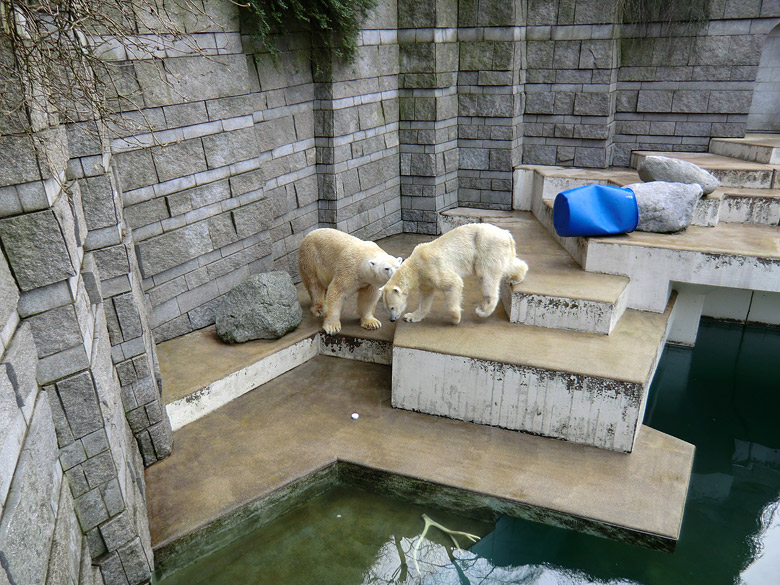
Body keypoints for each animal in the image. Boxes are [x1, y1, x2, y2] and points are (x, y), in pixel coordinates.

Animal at [380, 222, 528, 324]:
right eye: (386, 308)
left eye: (392, 307)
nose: (392, 320)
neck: (415, 266)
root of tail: (507, 234)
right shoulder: (424, 278)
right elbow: (426, 296)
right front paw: (411, 316)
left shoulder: (431, 266)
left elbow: (453, 282)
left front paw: (455, 317)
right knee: (508, 265)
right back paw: (517, 277)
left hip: (487, 248)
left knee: (486, 275)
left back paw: (483, 310)